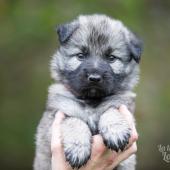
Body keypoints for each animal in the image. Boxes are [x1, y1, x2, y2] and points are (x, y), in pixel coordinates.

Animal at [33, 14, 142, 170]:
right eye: (80, 55)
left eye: (111, 58)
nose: (94, 78)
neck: (91, 100)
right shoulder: (52, 122)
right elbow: (73, 120)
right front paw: (78, 148)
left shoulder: (123, 105)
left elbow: (111, 110)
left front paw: (116, 131)